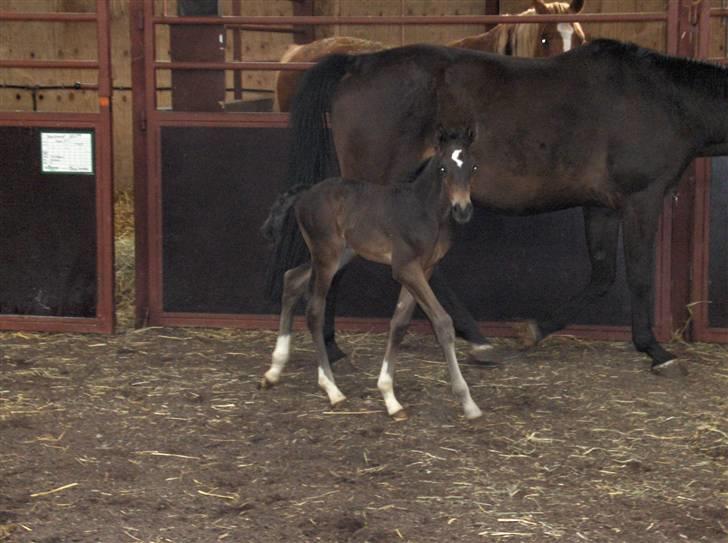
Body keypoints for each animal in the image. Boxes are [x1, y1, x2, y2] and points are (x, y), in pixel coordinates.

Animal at [262, 129, 484, 420]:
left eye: (473, 167)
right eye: (444, 168)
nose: (463, 209)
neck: (424, 210)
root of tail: (305, 193)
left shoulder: (424, 268)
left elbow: (399, 323)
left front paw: (390, 397)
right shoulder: (405, 267)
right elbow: (442, 322)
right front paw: (468, 402)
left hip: (341, 254)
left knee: (291, 279)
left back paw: (274, 370)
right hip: (326, 255)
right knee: (314, 311)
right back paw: (332, 389)